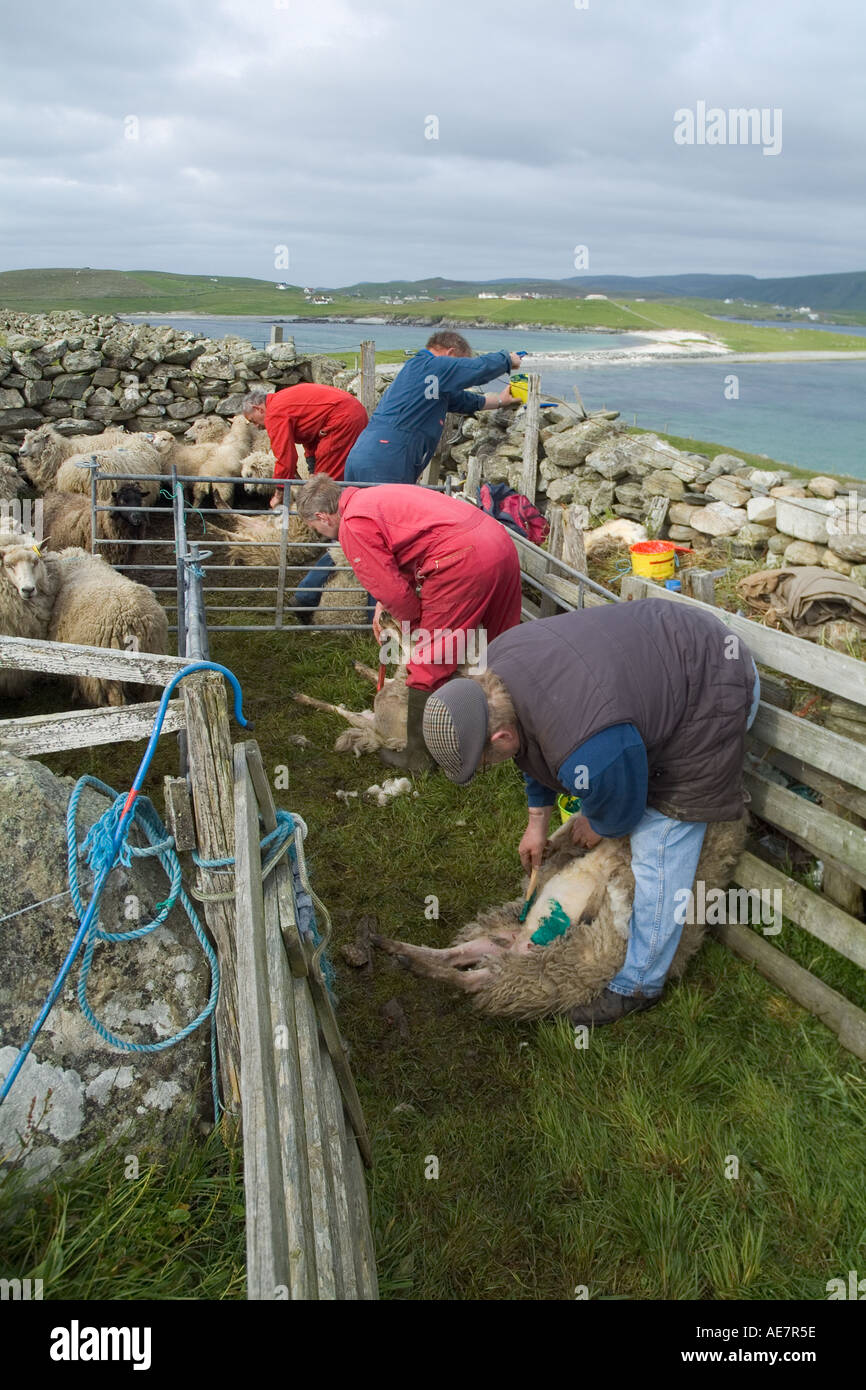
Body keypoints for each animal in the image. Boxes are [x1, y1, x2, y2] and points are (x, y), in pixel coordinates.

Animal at [375, 811, 750, 1023]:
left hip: (536, 972)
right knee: (455, 956)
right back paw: (396, 949)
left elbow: (622, 892)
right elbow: (568, 830)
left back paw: (410, 962)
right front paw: (546, 846)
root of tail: (513, 948)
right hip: (506, 949)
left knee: (471, 978)